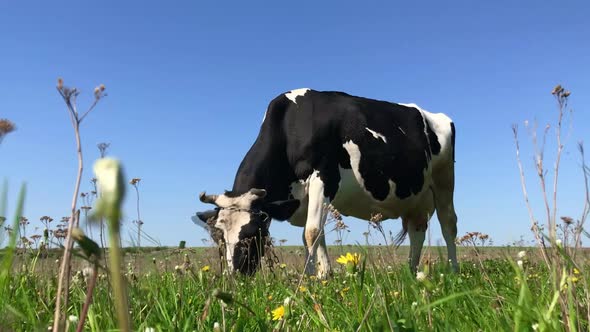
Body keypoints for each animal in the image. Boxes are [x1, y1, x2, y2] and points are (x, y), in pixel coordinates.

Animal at [194, 89, 458, 278]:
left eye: (252, 233)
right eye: (218, 237)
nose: (234, 277)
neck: (291, 126)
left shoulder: (324, 177)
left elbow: (312, 232)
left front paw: (324, 277)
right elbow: (309, 237)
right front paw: (311, 278)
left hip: (445, 179)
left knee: (448, 225)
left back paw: (453, 270)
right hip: (416, 198)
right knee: (417, 231)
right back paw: (411, 272)